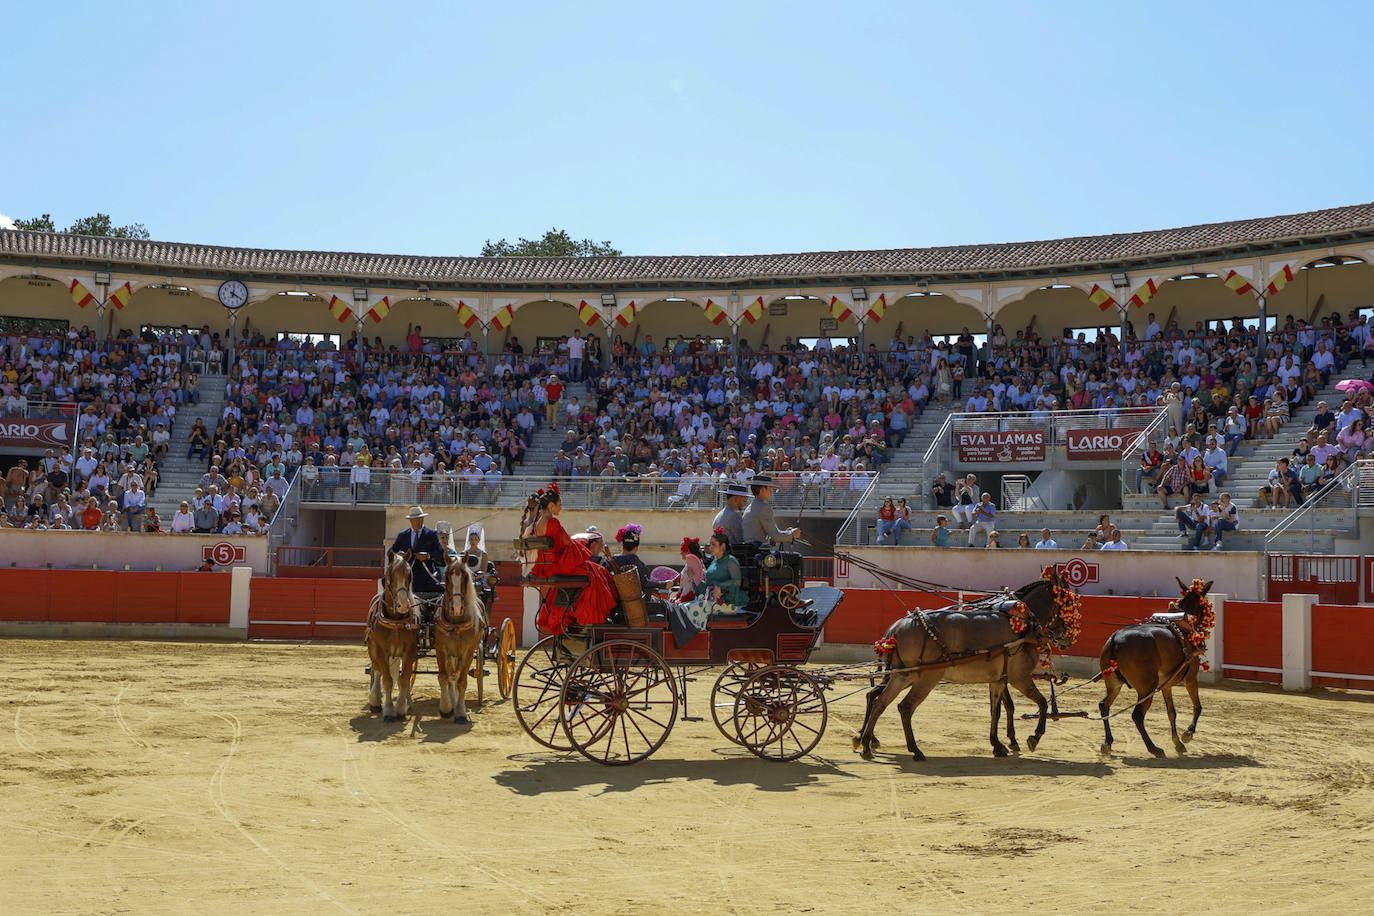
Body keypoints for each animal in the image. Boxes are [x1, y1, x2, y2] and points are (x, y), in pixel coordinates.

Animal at [368, 552, 420, 725]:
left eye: (409, 575)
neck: (396, 620)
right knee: (377, 670)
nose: (403, 605)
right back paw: (375, 700)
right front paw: (389, 711)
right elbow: (387, 680)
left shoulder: (410, 651)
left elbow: (403, 679)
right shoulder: (381, 650)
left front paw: (401, 708)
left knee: (398, 674)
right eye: (391, 574)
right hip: (373, 650)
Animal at [439, 560, 489, 725]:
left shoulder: (468, 651)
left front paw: (460, 712)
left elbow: (462, 681)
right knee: (451, 675)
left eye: (466, 578)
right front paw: (446, 708)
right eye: (446, 577)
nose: (456, 608)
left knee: (456, 675)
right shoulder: (441, 648)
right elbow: (444, 677)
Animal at [851, 568, 1077, 763]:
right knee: (904, 707)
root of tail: (896, 629)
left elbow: (996, 711)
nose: (1069, 638)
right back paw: (914, 750)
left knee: (879, 701)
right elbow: (1041, 703)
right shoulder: (1019, 677)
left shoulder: (997, 680)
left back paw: (866, 743)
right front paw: (1032, 738)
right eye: (1068, 601)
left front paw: (998, 745)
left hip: (902, 675)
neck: (1022, 621)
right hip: (925, 679)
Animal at [1099, 579, 1220, 758]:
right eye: (1205, 604)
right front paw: (1187, 734)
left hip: (1114, 684)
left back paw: (1108, 743)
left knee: (1104, 705)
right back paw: (1153, 748)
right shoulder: (1191, 678)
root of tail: (1115, 640)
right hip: (1147, 688)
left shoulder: (1166, 685)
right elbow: (1197, 706)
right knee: (1137, 715)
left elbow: (1172, 712)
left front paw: (1178, 743)